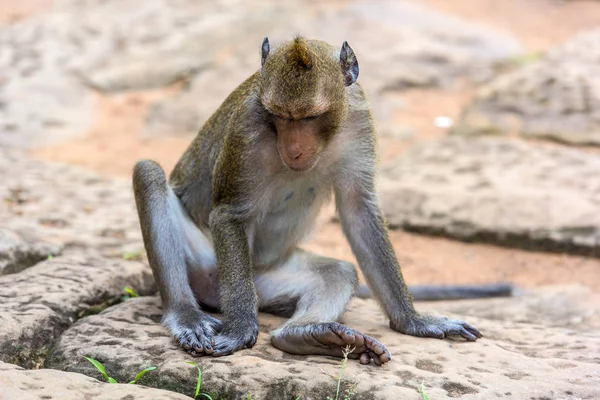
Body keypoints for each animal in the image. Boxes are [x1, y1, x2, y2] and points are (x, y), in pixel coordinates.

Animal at [134, 37, 494, 366]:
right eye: (280, 116)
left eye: (309, 118)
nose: (293, 149)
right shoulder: (247, 128)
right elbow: (229, 214)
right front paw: (239, 330)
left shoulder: (358, 119)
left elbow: (359, 211)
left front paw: (414, 321)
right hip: (209, 265)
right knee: (148, 174)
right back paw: (187, 315)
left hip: (268, 281)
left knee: (338, 272)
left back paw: (307, 335)